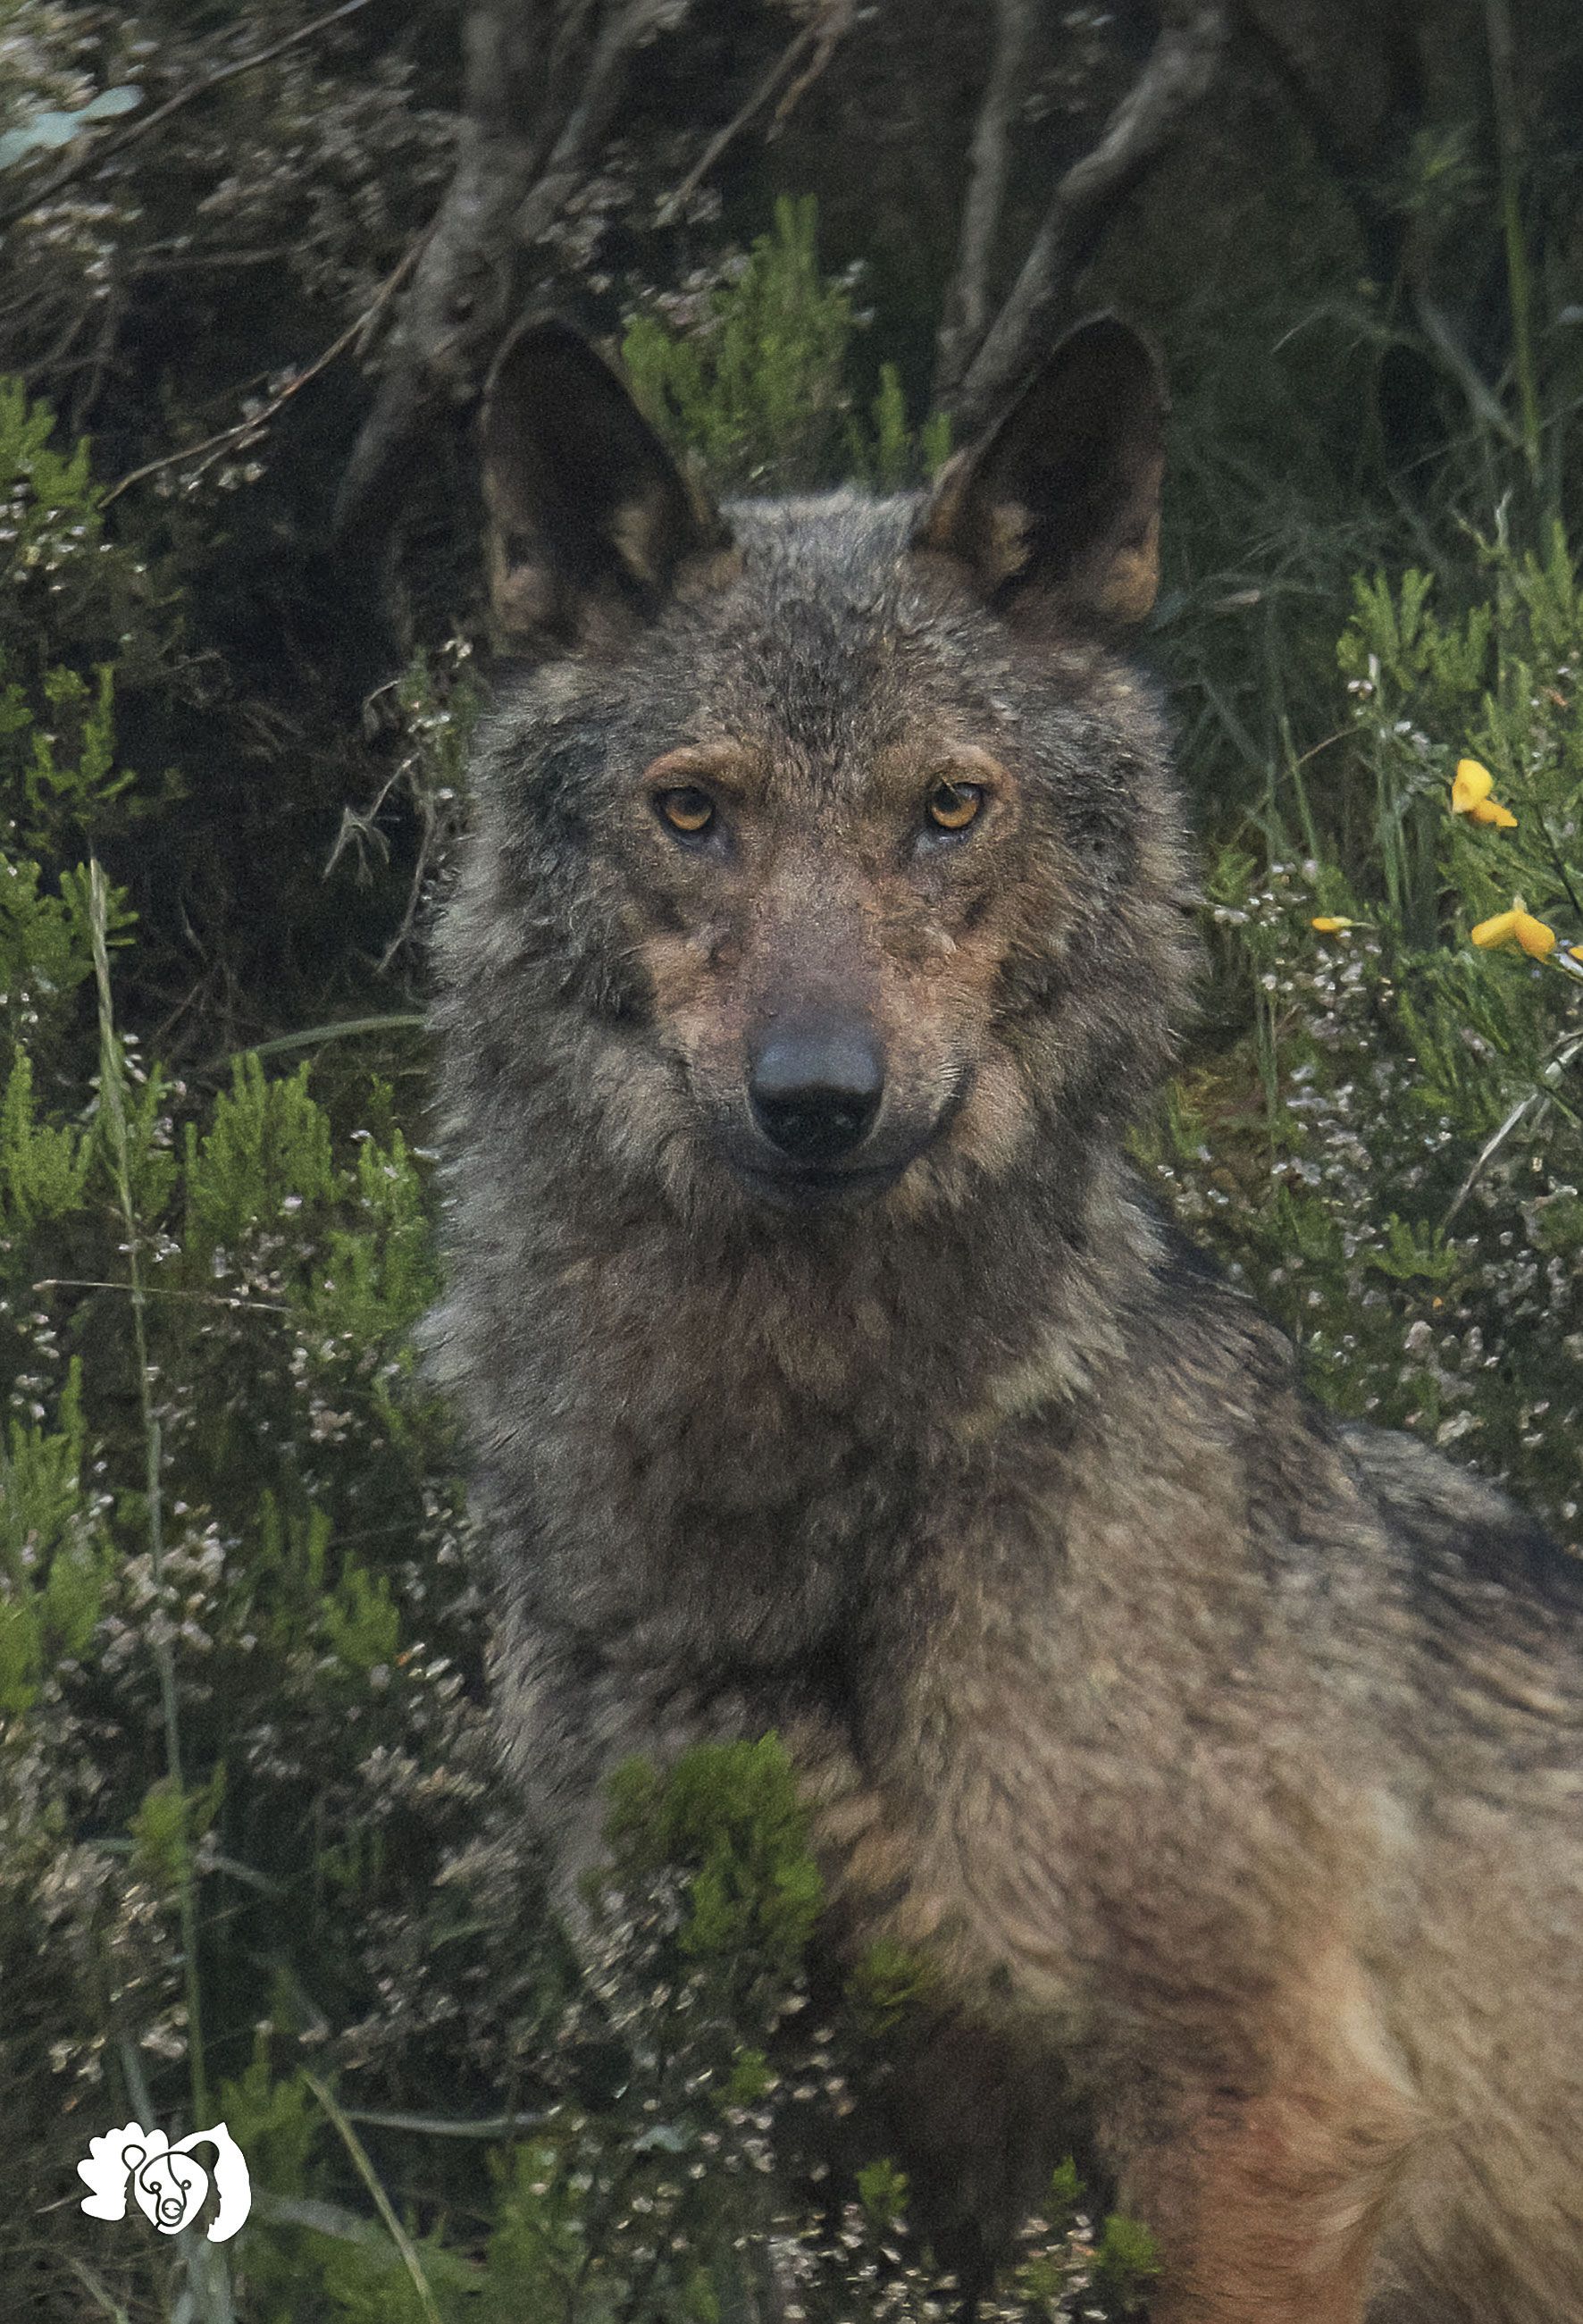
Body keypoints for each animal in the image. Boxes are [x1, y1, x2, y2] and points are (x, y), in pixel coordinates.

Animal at [431, 312, 1583, 2323]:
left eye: (947, 807)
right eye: (693, 809)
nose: (819, 1100)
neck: (790, 1536)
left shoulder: (1262, 2110)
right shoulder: (782, 2124)